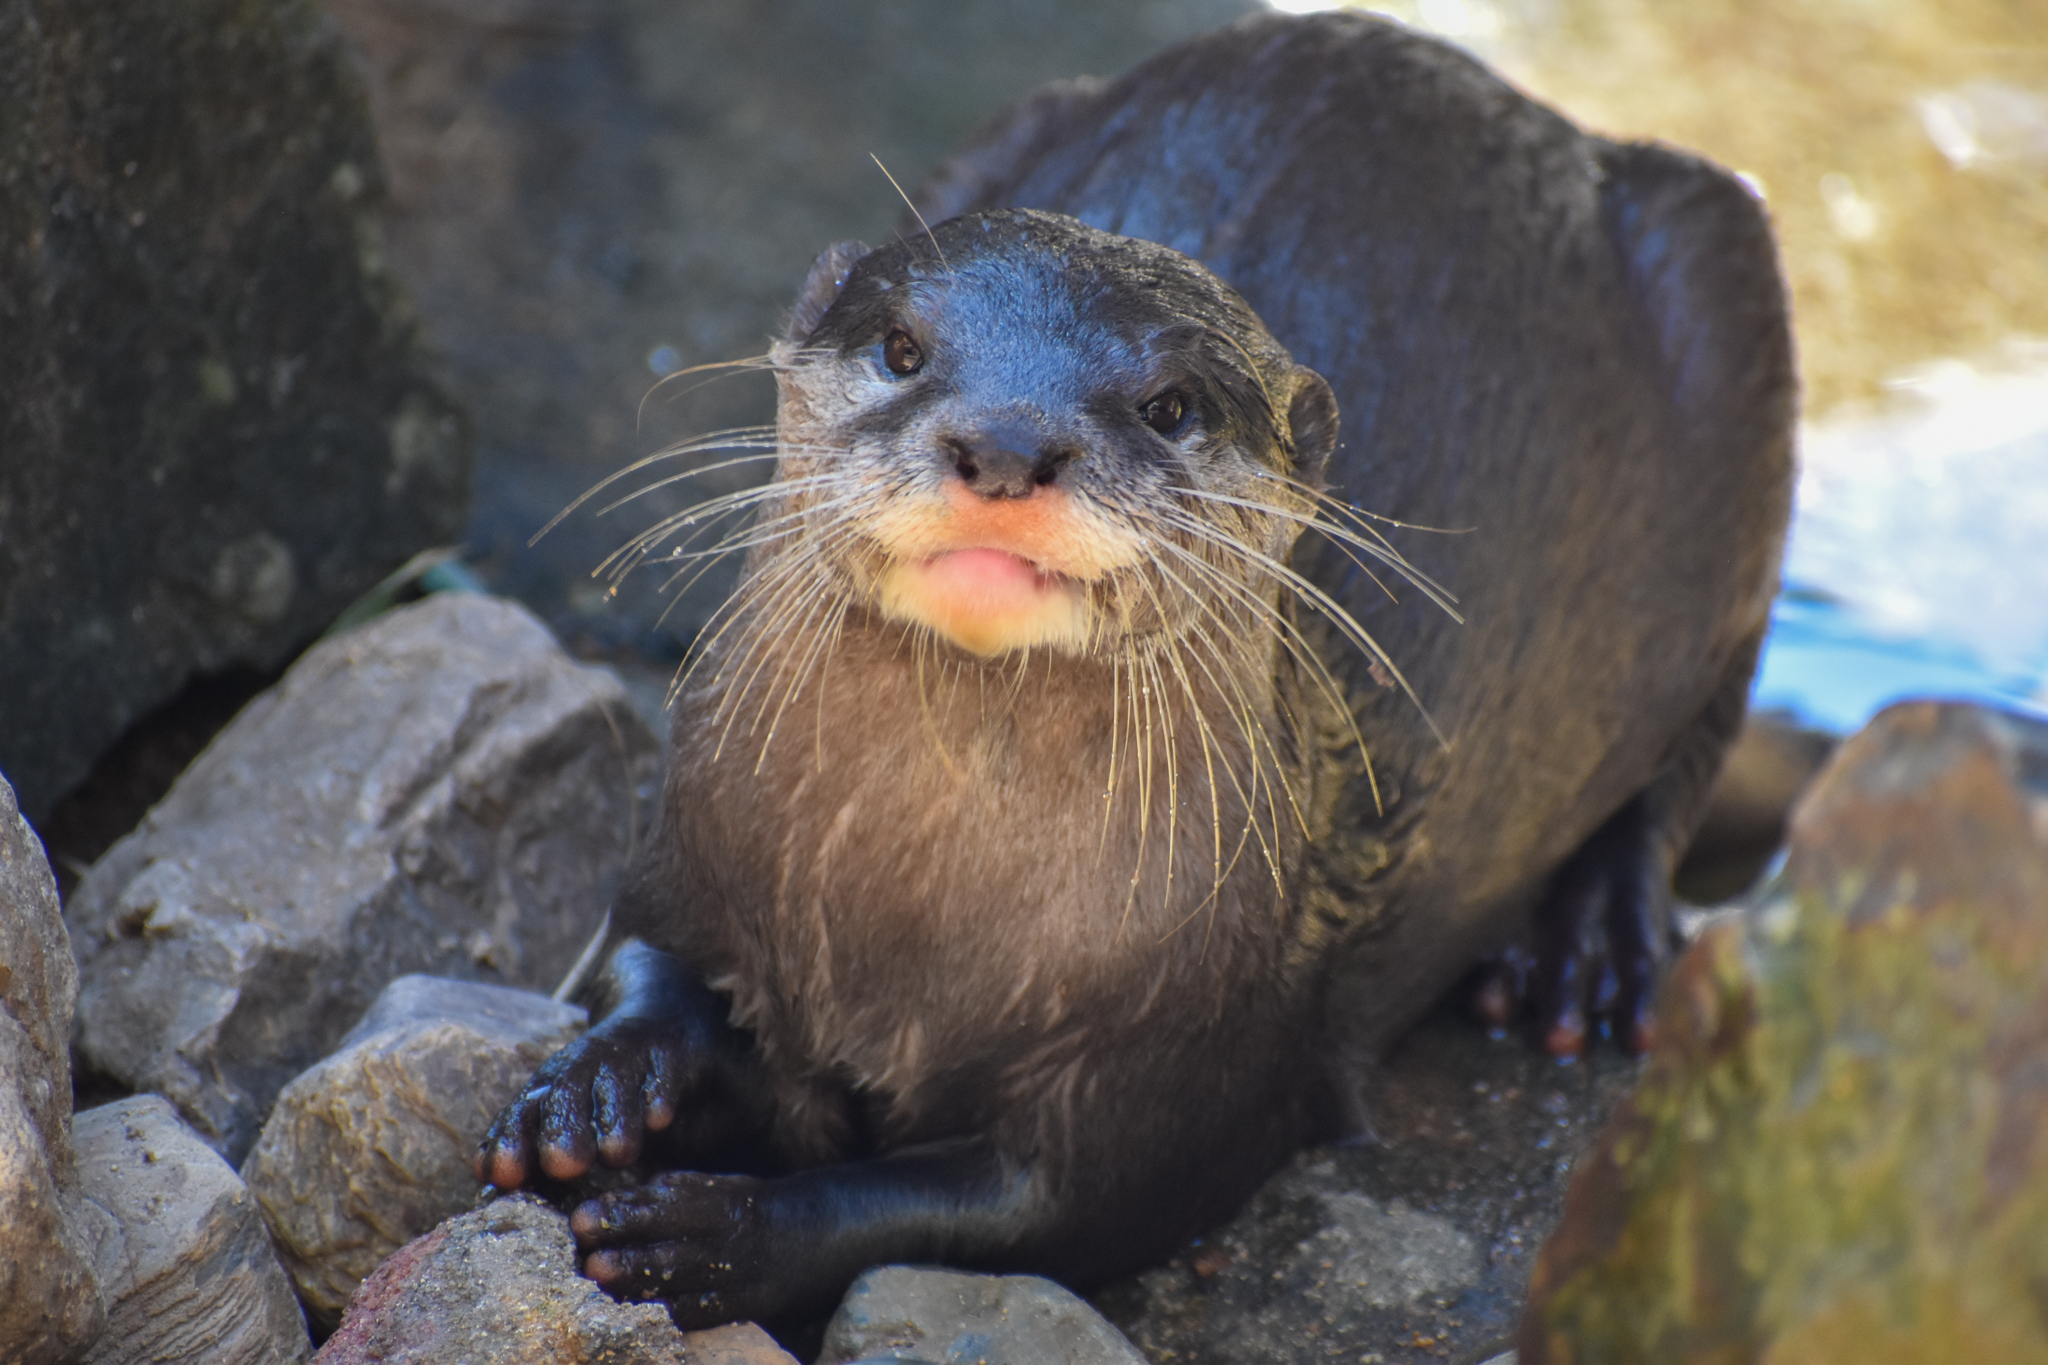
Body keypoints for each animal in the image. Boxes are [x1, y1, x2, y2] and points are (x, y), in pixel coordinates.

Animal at [479, 11, 1794, 1330]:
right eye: (900, 347)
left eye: (1167, 405)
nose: (1004, 441)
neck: (903, 928)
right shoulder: (686, 839)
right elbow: (643, 958)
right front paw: (596, 1090)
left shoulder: (1179, 1091)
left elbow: (990, 1212)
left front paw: (717, 1237)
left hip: (1729, 297)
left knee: (1687, 749)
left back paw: (1588, 953)